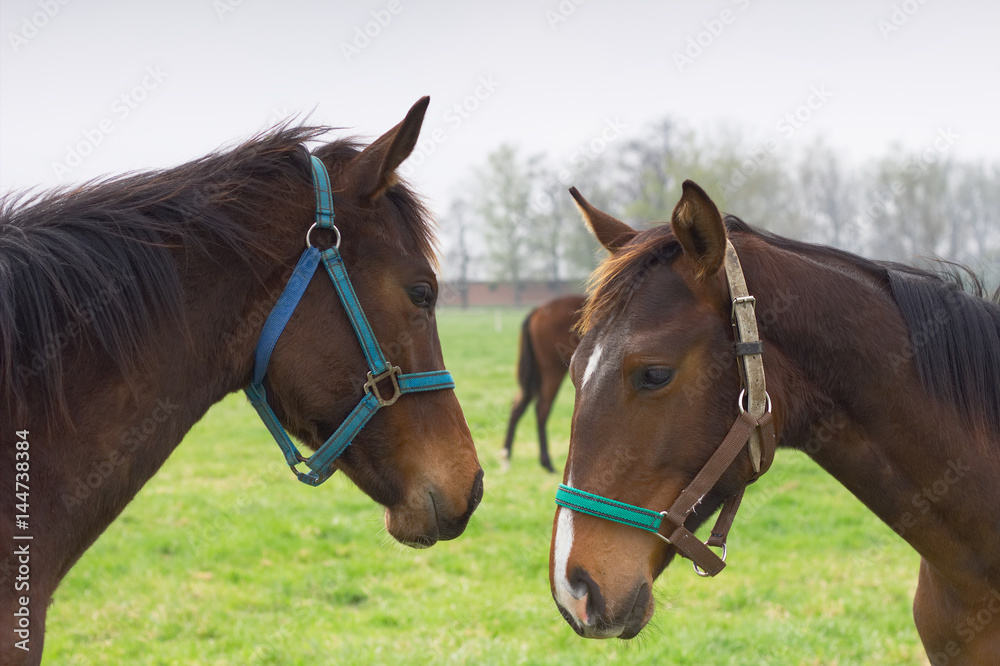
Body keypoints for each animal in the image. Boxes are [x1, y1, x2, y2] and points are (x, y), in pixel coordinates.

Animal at [503, 294, 585, 472]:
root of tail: (538, 310)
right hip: (552, 370)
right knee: (542, 409)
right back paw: (547, 462)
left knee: (518, 405)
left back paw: (506, 457)